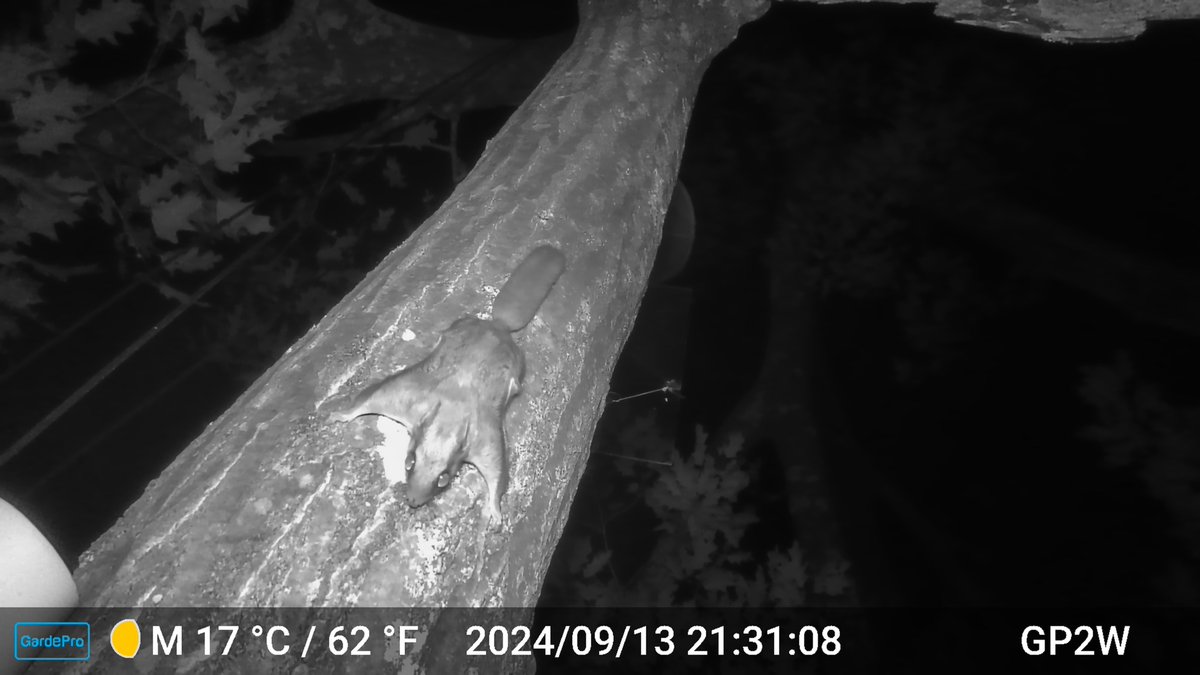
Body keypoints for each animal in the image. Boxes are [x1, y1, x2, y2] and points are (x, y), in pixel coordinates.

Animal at [329, 245, 566, 525]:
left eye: (444, 479)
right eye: (409, 462)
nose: (413, 501)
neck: (452, 412)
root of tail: (498, 325)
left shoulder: (485, 439)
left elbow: (498, 473)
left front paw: (495, 511)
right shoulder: (405, 396)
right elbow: (368, 398)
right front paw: (341, 414)